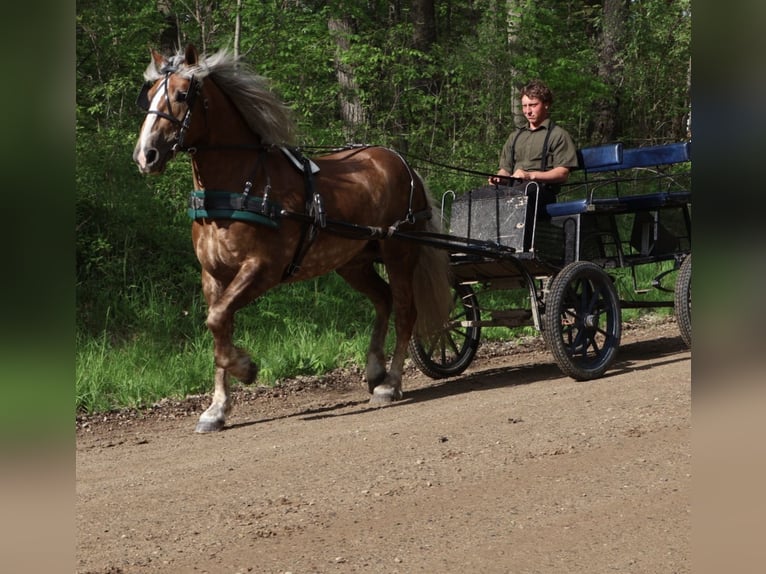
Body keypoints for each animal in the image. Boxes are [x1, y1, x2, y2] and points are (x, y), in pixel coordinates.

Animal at [132, 45, 453, 432]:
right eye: (149, 94)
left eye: (182, 95)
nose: (145, 155)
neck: (241, 188)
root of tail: (401, 162)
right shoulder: (213, 276)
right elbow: (219, 327)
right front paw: (217, 408)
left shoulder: (262, 268)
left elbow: (217, 320)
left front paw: (246, 368)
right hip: (354, 262)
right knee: (384, 299)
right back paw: (375, 369)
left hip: (399, 251)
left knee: (406, 310)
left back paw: (390, 383)